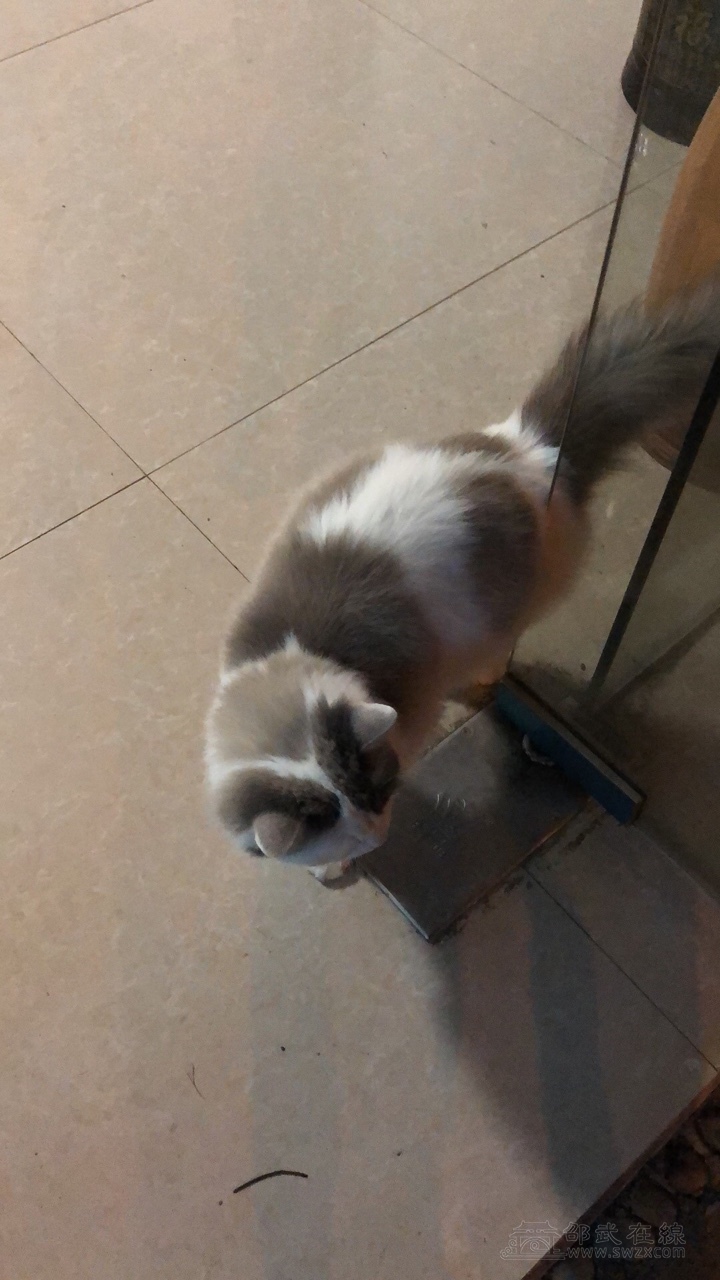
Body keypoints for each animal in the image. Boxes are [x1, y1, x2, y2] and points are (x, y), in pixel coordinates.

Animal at [206, 278, 720, 878]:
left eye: (382, 795)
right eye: (354, 831)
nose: (377, 839)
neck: (300, 652)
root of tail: (530, 449)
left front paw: (328, 873)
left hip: (508, 611)